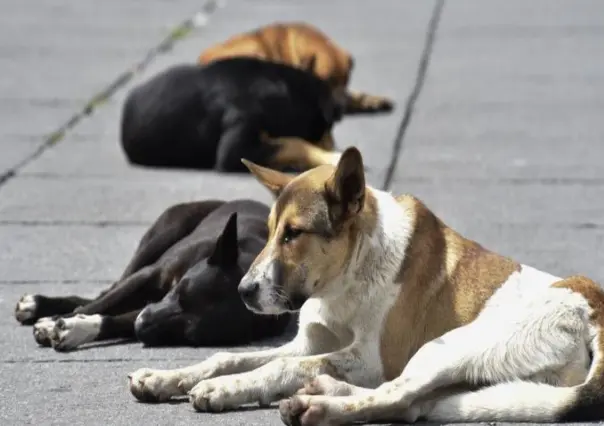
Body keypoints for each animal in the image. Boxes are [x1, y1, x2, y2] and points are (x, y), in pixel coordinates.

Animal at [15, 198, 290, 352]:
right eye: (179, 292)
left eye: (189, 336)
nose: (142, 324)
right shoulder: (149, 277)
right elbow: (102, 304)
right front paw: (56, 321)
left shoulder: (151, 310)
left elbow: (116, 320)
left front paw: (76, 328)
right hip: (165, 231)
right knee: (109, 289)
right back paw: (39, 305)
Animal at [127, 148, 604, 424]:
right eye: (268, 231)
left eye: (294, 234)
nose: (243, 291)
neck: (346, 280)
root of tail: (594, 308)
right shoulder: (307, 343)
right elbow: (229, 357)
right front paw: (168, 377)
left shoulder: (373, 358)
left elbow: (279, 368)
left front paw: (224, 390)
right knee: (414, 406)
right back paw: (326, 393)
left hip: (450, 346)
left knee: (396, 395)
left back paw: (319, 406)